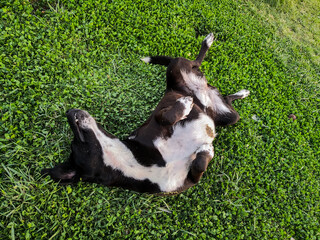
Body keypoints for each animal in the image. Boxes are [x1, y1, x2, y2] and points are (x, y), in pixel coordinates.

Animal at [40, 33, 250, 195]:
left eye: (76, 138)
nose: (69, 111)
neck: (134, 164)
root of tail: (204, 89)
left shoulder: (157, 122)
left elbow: (165, 116)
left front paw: (184, 106)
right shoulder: (190, 180)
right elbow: (199, 165)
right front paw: (207, 150)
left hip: (177, 68)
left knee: (194, 61)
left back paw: (208, 42)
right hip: (228, 116)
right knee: (227, 99)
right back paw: (239, 93)